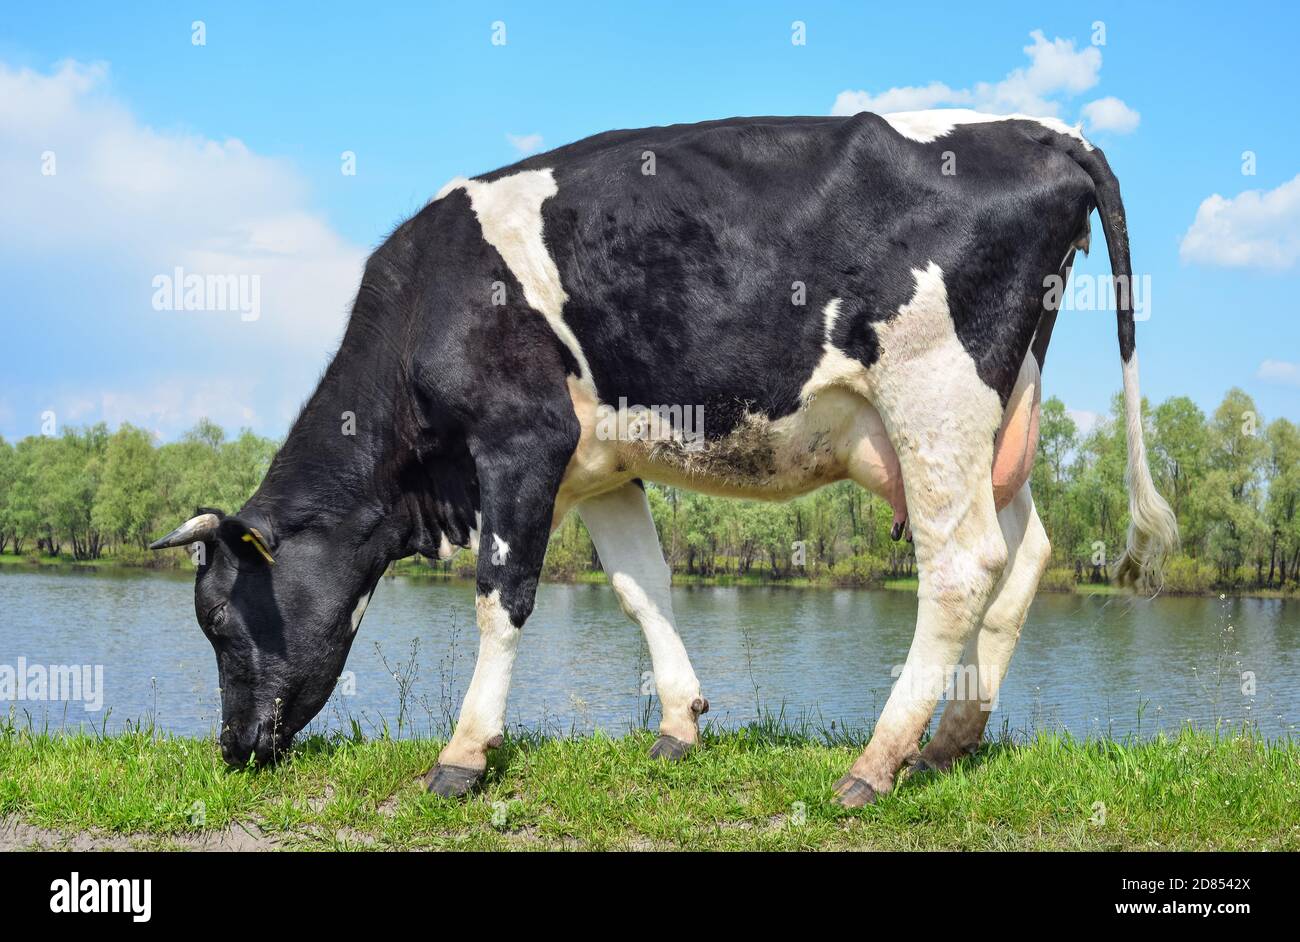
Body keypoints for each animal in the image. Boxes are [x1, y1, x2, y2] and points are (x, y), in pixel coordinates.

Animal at [152, 106, 1180, 805]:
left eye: (222, 619)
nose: (234, 749)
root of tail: (1042, 130)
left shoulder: (521, 441)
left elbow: (502, 595)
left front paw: (463, 754)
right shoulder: (603, 466)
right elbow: (643, 588)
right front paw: (681, 726)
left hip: (933, 395)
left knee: (963, 564)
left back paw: (876, 764)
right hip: (995, 420)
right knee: (1028, 551)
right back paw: (951, 740)